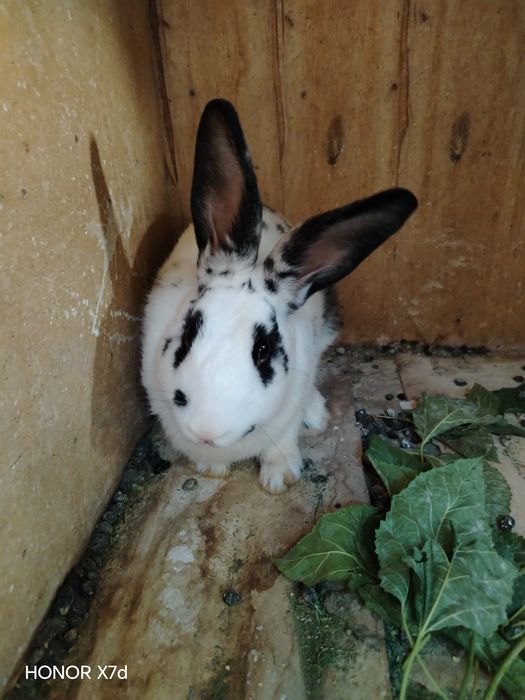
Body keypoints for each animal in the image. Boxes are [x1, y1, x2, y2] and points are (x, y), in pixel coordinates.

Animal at [141, 98, 417, 493]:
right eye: (188, 334)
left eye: (263, 350)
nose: (207, 430)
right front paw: (210, 468)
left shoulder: (287, 411)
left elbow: (283, 440)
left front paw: (279, 478)